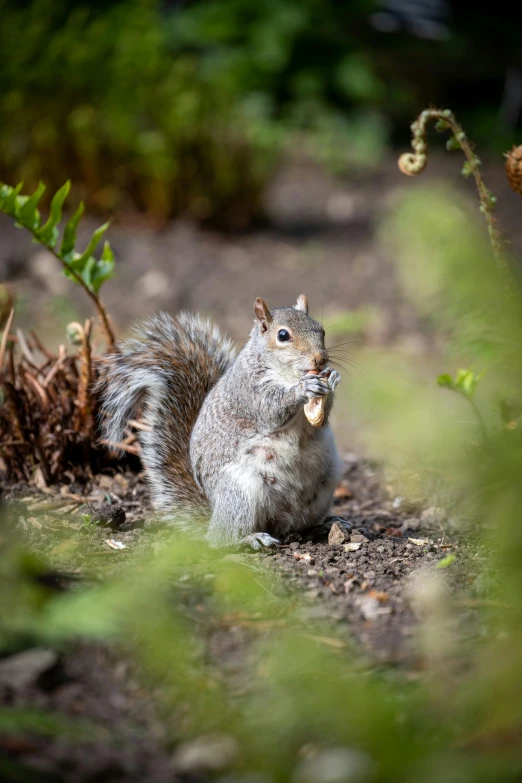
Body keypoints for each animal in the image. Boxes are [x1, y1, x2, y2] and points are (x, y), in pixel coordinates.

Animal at [97, 296, 342, 552]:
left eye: (321, 330)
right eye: (283, 335)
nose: (321, 359)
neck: (289, 374)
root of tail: (213, 515)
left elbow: (320, 419)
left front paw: (332, 378)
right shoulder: (248, 390)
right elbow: (271, 409)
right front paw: (303, 389)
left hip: (325, 484)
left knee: (298, 524)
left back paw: (325, 525)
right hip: (241, 491)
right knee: (222, 539)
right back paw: (250, 538)